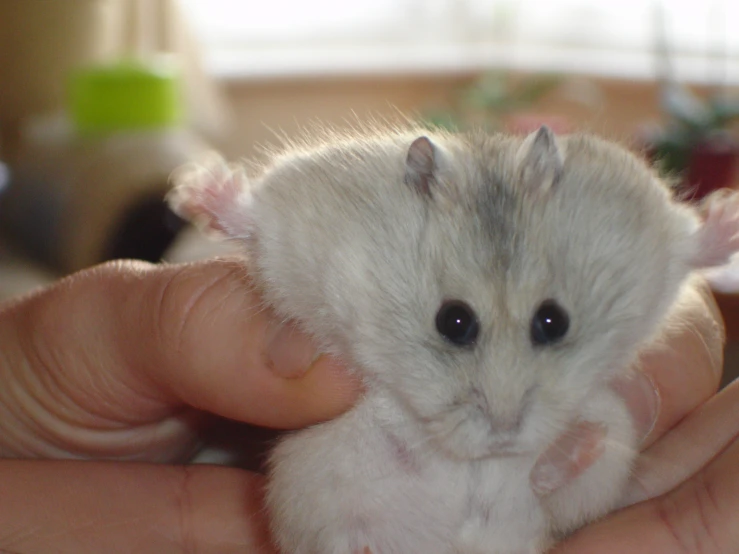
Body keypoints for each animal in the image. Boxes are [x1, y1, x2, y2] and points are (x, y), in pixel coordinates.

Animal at [166, 125, 739, 552]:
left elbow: (687, 244)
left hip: (605, 453)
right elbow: (256, 220)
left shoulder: (651, 228)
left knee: (566, 479)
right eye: (454, 321)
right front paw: (192, 186)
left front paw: (727, 217)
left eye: (554, 321)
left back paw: (574, 445)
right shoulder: (301, 226)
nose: (503, 437)